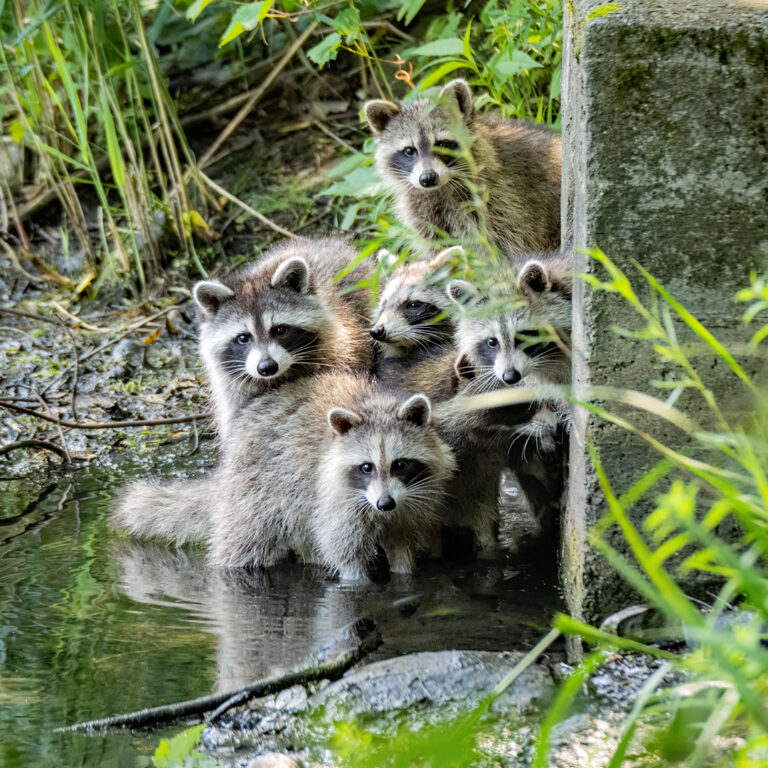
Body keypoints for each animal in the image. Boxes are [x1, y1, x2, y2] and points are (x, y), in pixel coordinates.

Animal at [111, 374, 452, 584]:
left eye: (400, 464)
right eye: (366, 467)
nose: (384, 504)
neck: (374, 403)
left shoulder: (415, 500)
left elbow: (403, 540)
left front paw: (405, 575)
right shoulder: (337, 497)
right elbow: (342, 548)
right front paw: (358, 580)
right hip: (255, 489)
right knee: (243, 543)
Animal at [192, 237, 372, 440]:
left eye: (280, 330)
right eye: (243, 338)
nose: (267, 367)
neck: (282, 375)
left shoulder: (344, 350)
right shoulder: (233, 391)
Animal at [364, 80, 560, 260]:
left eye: (442, 144)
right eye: (409, 151)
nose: (427, 178)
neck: (440, 189)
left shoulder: (504, 198)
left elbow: (502, 245)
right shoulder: (422, 211)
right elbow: (437, 245)